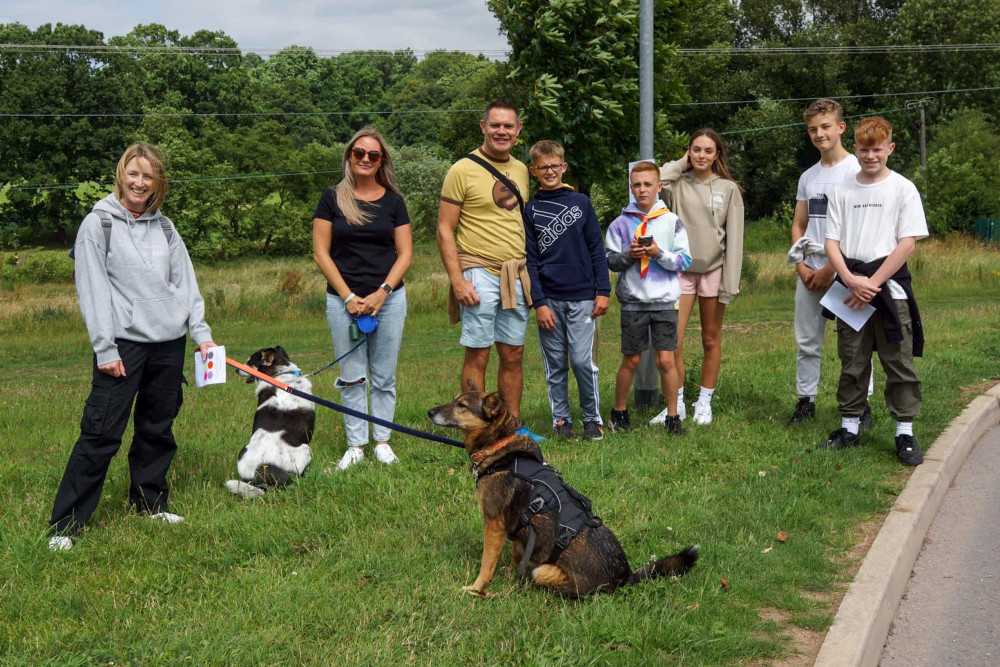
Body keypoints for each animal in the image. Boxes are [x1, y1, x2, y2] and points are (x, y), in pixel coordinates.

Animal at [426, 384, 700, 596]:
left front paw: (475, 588)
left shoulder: (493, 525)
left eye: (461, 405)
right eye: (453, 400)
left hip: (543, 571)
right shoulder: (514, 526)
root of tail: (624, 578)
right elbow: (515, 552)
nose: (429, 411)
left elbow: (486, 565)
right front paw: (509, 573)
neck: (501, 448)